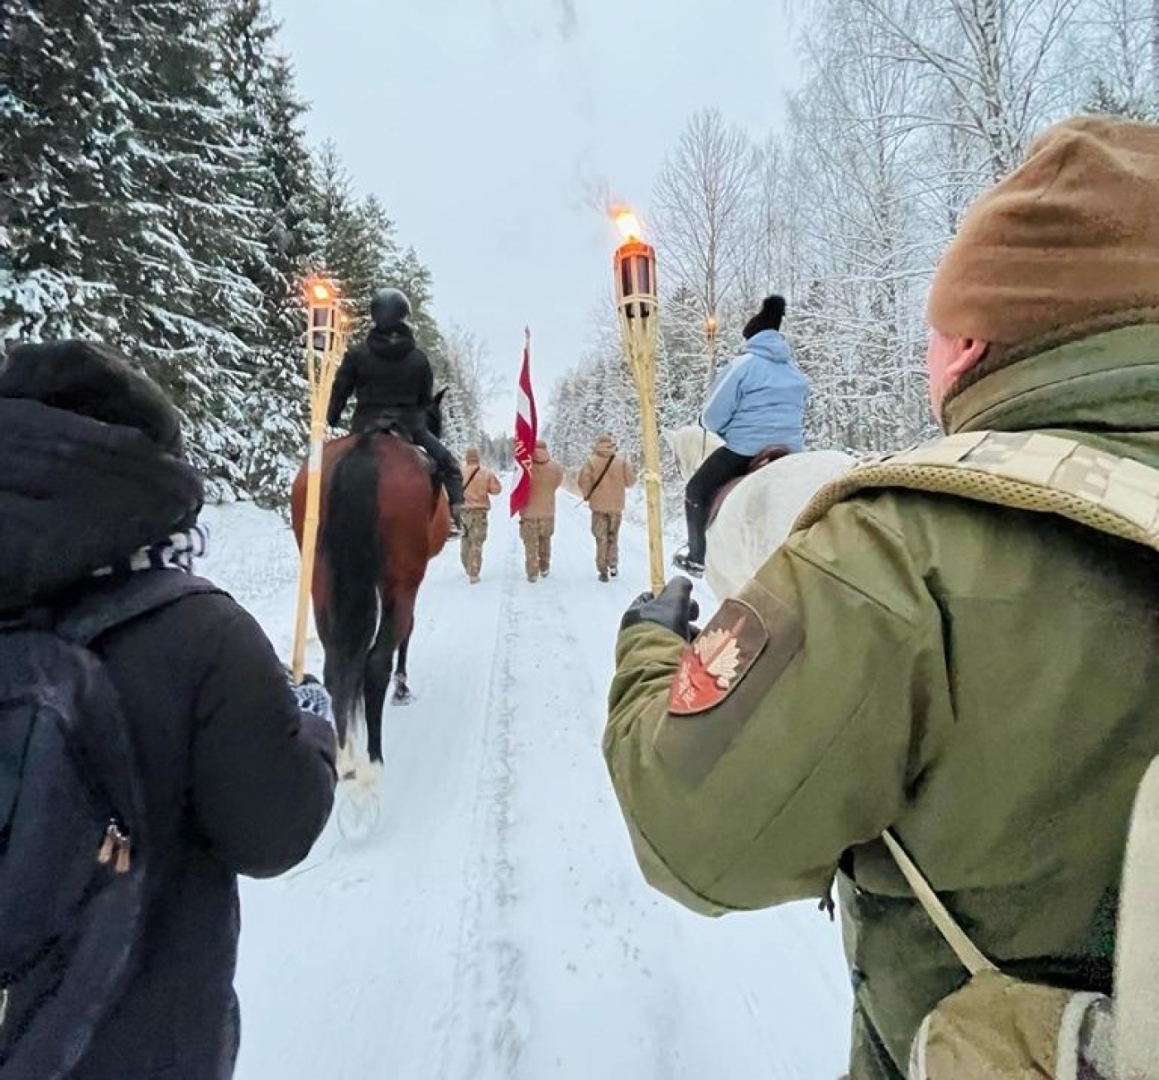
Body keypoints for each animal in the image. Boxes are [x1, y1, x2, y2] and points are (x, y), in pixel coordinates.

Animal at [292, 391, 449, 778]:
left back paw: (343, 752)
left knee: (335, 663)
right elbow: (408, 629)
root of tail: (364, 453)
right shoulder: (408, 579)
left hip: (321, 578)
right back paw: (374, 757)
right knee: (377, 662)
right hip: (400, 580)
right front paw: (403, 686)